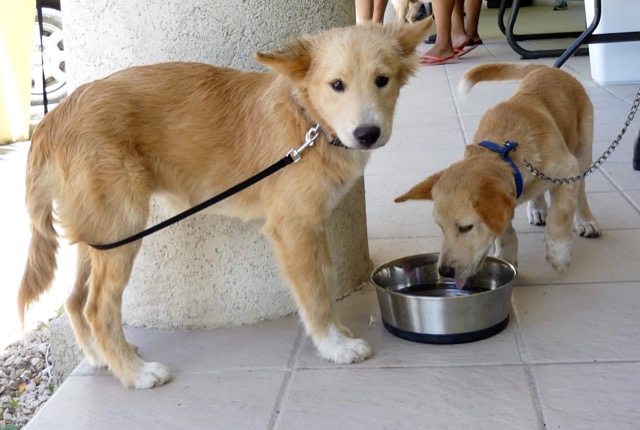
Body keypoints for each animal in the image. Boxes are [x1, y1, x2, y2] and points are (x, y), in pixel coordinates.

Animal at [17, 19, 432, 390]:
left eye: (382, 80)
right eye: (337, 85)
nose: (367, 134)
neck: (307, 121)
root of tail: (53, 118)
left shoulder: (314, 225)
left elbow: (325, 280)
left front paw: (338, 333)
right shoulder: (294, 228)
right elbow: (315, 292)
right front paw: (334, 345)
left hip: (101, 234)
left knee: (74, 300)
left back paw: (101, 358)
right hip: (124, 226)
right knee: (97, 308)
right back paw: (135, 373)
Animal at [396, 63, 600, 286]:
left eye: (466, 228)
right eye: (440, 227)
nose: (445, 271)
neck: (504, 152)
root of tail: (547, 68)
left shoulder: (567, 170)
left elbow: (561, 214)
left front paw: (558, 252)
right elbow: (503, 228)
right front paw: (506, 254)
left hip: (583, 151)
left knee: (581, 191)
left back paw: (585, 220)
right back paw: (537, 208)